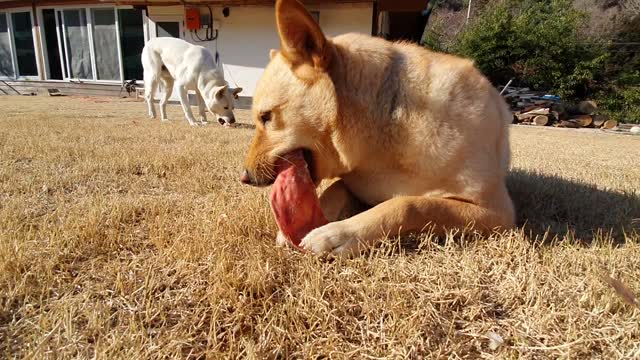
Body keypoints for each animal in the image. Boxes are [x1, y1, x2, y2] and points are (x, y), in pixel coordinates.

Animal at [240, 0, 516, 256]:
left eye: (266, 117)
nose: (244, 177)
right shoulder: (353, 184)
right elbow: (333, 190)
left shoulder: (495, 211)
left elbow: (409, 205)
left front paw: (337, 234)